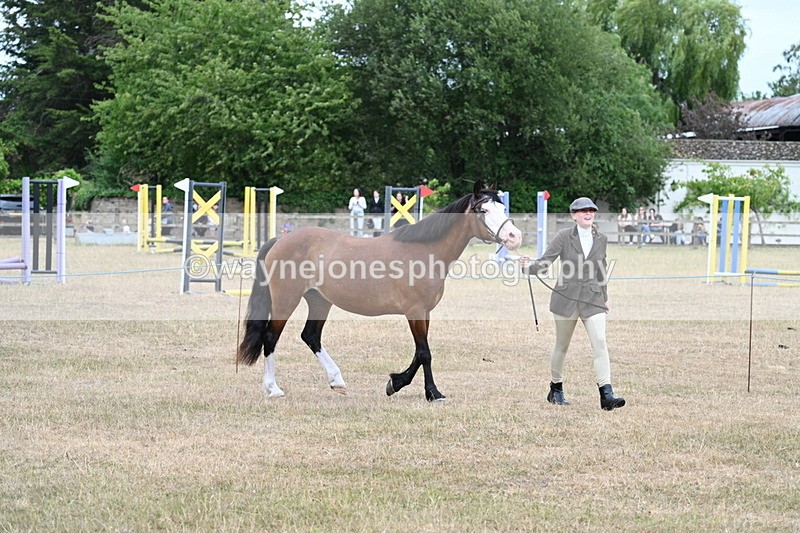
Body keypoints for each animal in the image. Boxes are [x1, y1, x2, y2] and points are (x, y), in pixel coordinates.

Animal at [237, 181, 522, 401]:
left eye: (502, 207)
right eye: (483, 209)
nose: (514, 236)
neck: (424, 251)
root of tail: (280, 239)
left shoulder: (423, 312)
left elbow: (419, 353)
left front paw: (395, 383)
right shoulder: (414, 311)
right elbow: (425, 353)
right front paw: (432, 393)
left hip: (319, 301)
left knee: (311, 336)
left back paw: (337, 380)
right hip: (286, 301)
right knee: (270, 338)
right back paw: (273, 389)